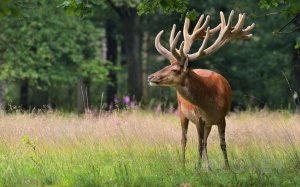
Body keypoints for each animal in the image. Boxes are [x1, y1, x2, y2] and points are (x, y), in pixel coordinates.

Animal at [149, 10, 254, 171]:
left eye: (174, 69)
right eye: (167, 65)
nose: (150, 77)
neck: (211, 103)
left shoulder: (222, 118)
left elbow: (222, 144)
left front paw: (227, 168)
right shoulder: (199, 117)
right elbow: (198, 144)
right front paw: (198, 170)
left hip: (207, 124)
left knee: (204, 141)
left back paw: (208, 167)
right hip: (182, 112)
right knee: (184, 139)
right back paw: (184, 165)